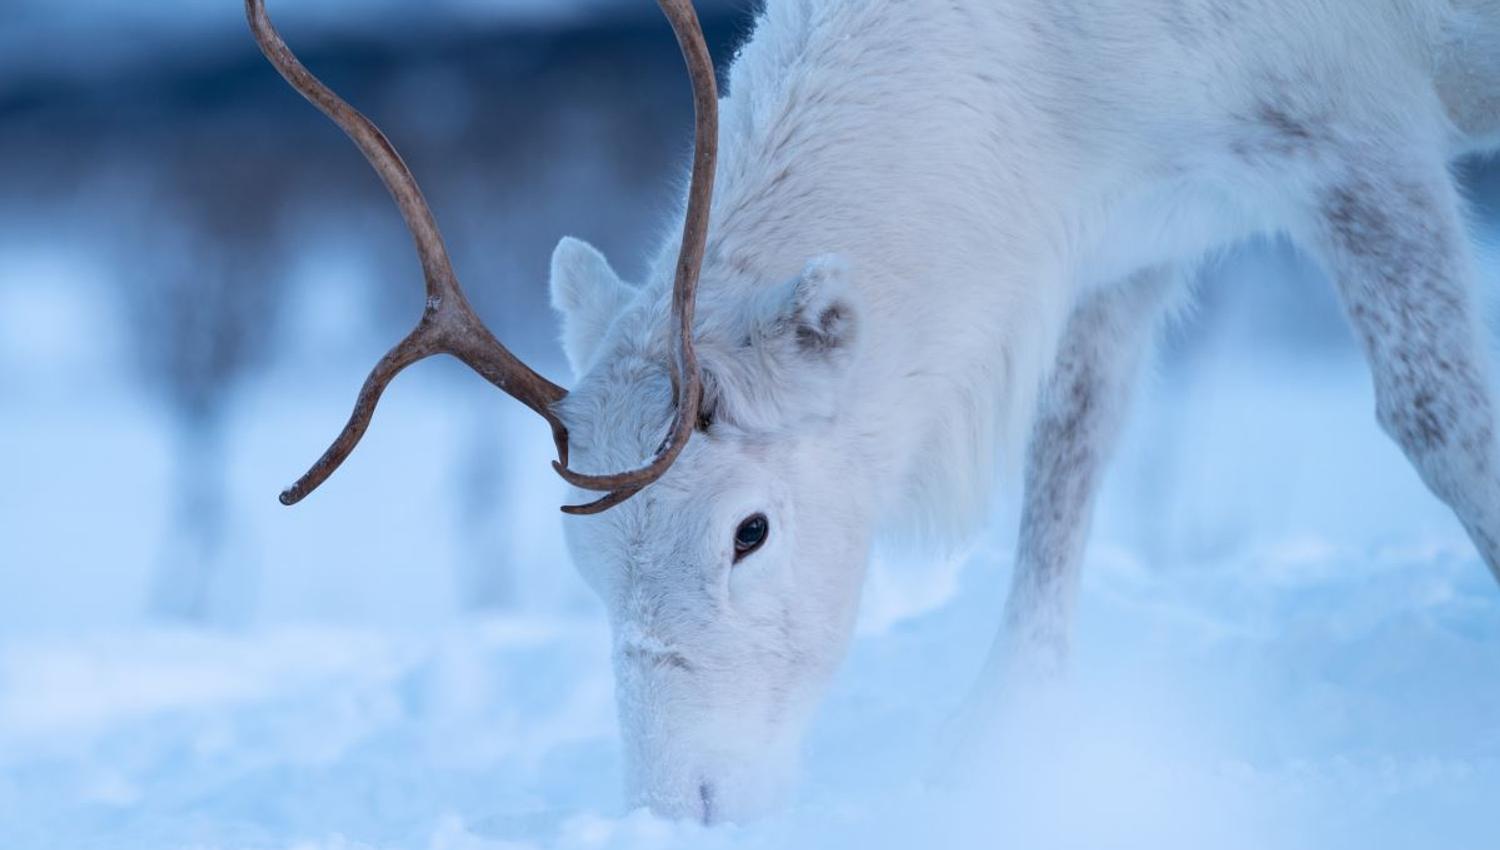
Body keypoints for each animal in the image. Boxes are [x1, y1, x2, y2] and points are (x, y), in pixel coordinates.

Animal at [247, 0, 1500, 825]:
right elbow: (1067, 462)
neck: (1065, 102)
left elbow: (1441, 419)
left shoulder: (1357, 136)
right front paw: (993, 754)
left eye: (749, 531)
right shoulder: (1125, 240)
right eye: (585, 558)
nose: (680, 806)